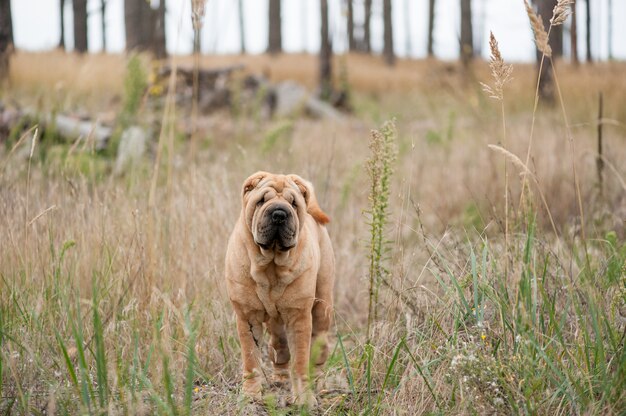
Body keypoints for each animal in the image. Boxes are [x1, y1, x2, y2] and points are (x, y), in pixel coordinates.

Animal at [224, 171, 332, 408]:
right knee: (279, 349)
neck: (271, 266)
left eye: (294, 203)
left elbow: (300, 360)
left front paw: (304, 398)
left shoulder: (299, 318)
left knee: (319, 350)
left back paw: (319, 383)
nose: (280, 214)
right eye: (261, 200)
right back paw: (280, 380)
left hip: (322, 309)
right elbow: (251, 360)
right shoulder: (247, 317)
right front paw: (251, 395)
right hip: (277, 325)